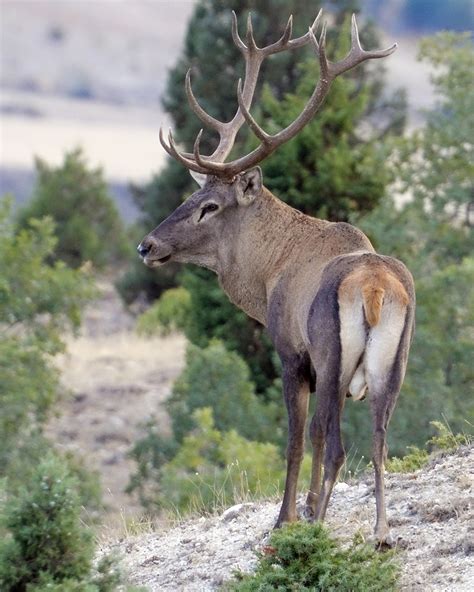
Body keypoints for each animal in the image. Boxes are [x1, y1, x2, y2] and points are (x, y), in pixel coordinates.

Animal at [138, 9, 414, 548]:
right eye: (190, 197)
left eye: (209, 206)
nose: (147, 246)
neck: (267, 277)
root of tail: (374, 291)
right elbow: (318, 438)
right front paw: (306, 507)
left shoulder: (292, 353)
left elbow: (296, 439)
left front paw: (287, 518)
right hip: (392, 362)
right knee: (379, 440)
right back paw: (380, 531)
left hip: (334, 353)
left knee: (337, 445)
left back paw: (321, 527)